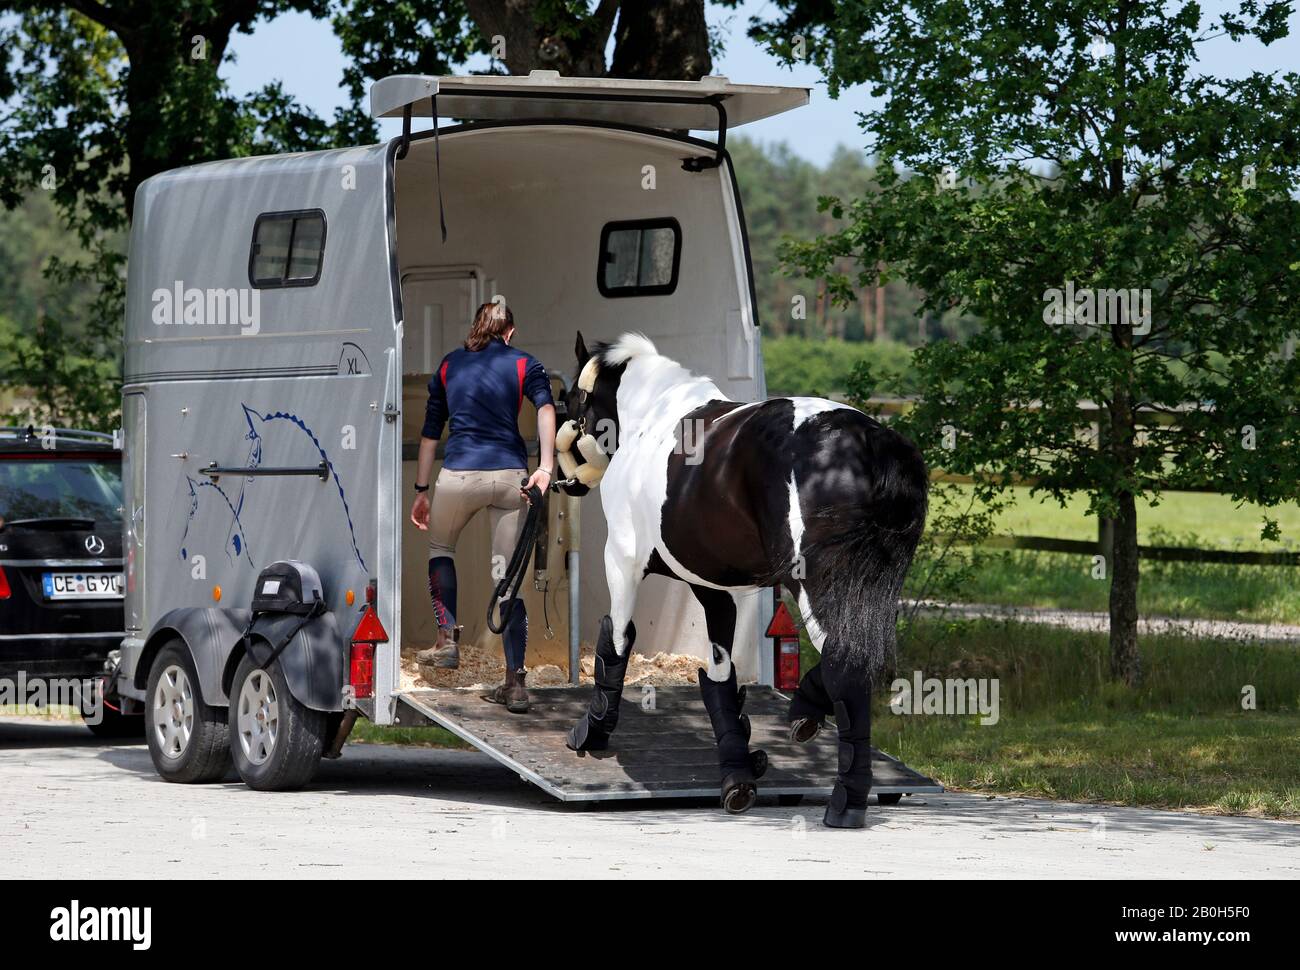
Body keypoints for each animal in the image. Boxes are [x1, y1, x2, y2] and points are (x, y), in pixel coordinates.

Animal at [554, 332, 929, 828]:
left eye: (571, 399)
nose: (561, 479)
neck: (648, 415)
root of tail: (866, 440)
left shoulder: (622, 561)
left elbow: (615, 643)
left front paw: (592, 732)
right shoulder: (714, 589)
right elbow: (720, 677)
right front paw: (738, 768)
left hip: (817, 588)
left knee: (845, 663)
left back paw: (845, 802)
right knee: (857, 661)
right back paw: (810, 719)